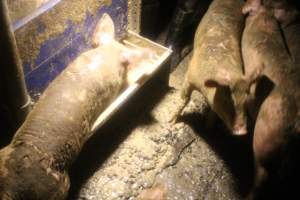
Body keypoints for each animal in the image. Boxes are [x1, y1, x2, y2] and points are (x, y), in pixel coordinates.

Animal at [169, 0, 260, 136]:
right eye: (227, 101)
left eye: (246, 101)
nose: (242, 131)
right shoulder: (189, 76)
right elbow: (183, 100)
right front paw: (171, 122)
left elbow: (213, 112)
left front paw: (208, 128)